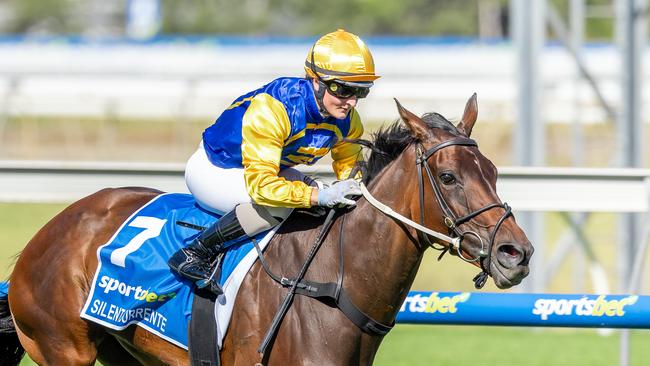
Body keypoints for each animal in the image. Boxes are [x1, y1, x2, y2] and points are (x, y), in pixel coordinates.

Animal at [1, 96, 532, 364]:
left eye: (493, 171)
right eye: (448, 176)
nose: (516, 253)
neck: (331, 285)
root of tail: (49, 231)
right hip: (63, 348)